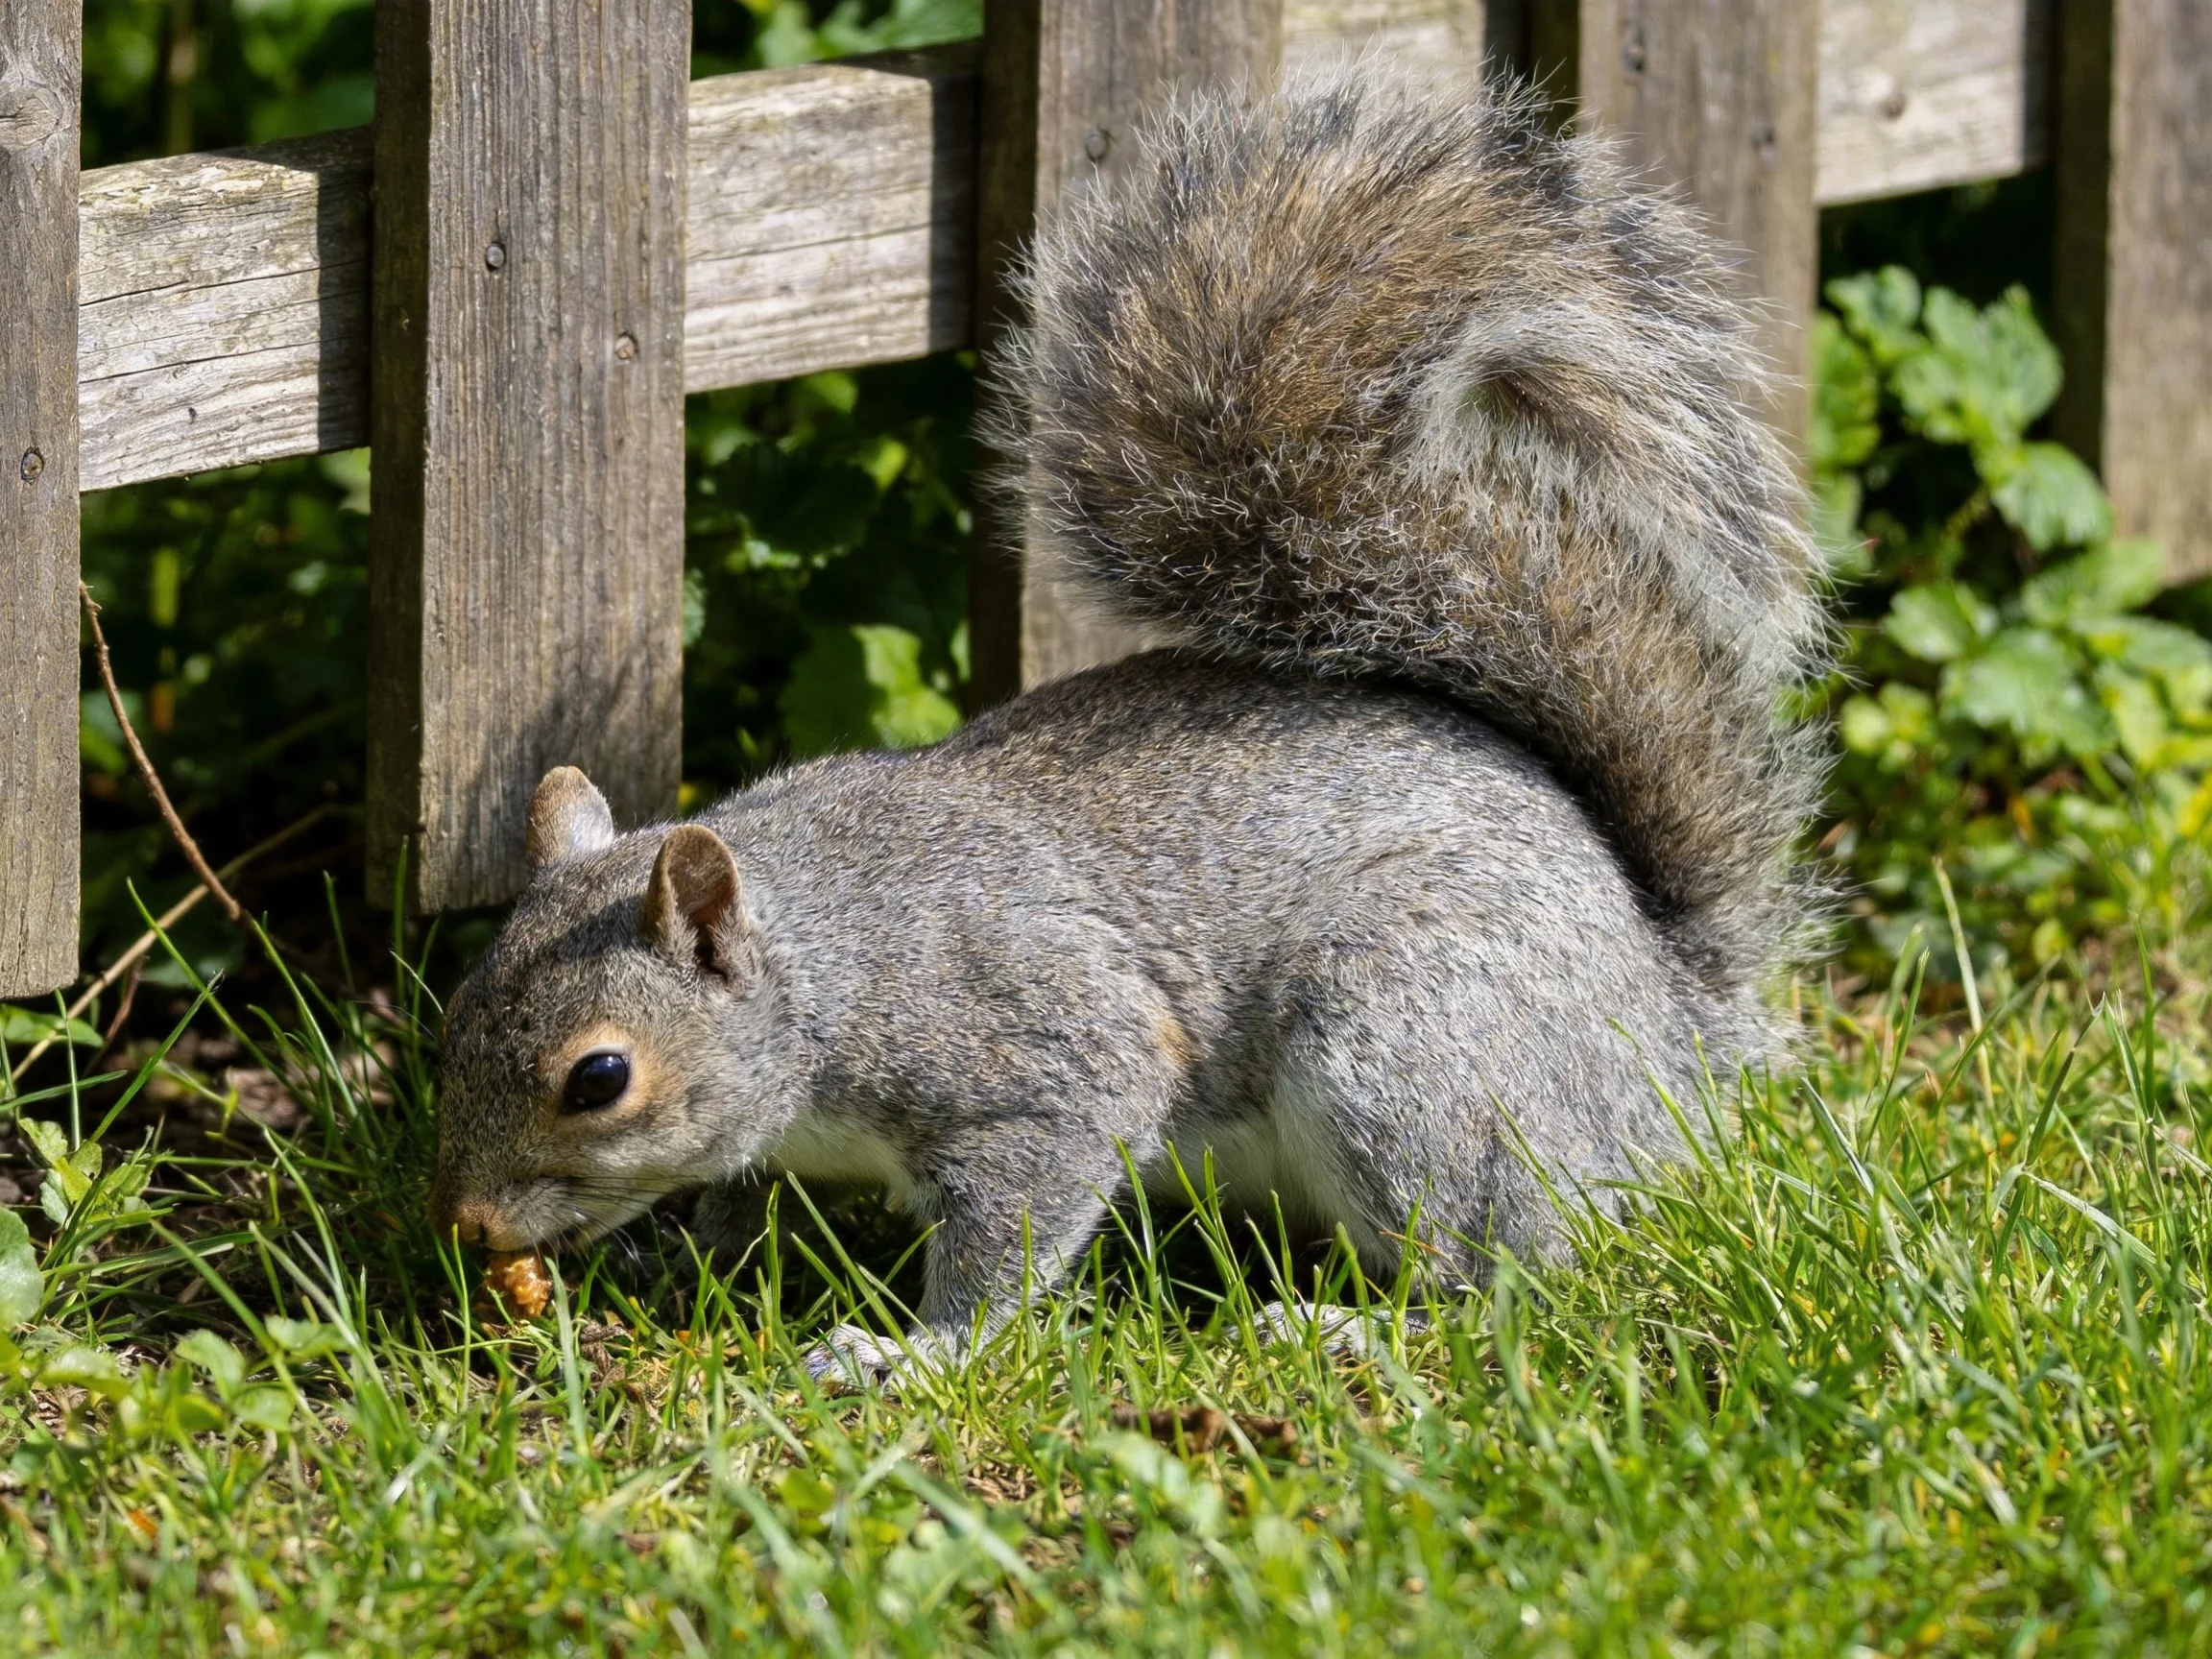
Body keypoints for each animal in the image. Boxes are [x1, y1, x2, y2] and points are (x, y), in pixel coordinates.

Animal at [429, 69, 1826, 1375]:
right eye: (455, 1011)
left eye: (599, 1079)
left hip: (1412, 1050)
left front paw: (914, 1353)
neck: (828, 960)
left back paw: (1350, 1329)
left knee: (1503, 1279)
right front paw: (701, 1251)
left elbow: (1013, 1223)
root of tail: (1673, 1032)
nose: (466, 1227)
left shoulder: (1041, 1055)